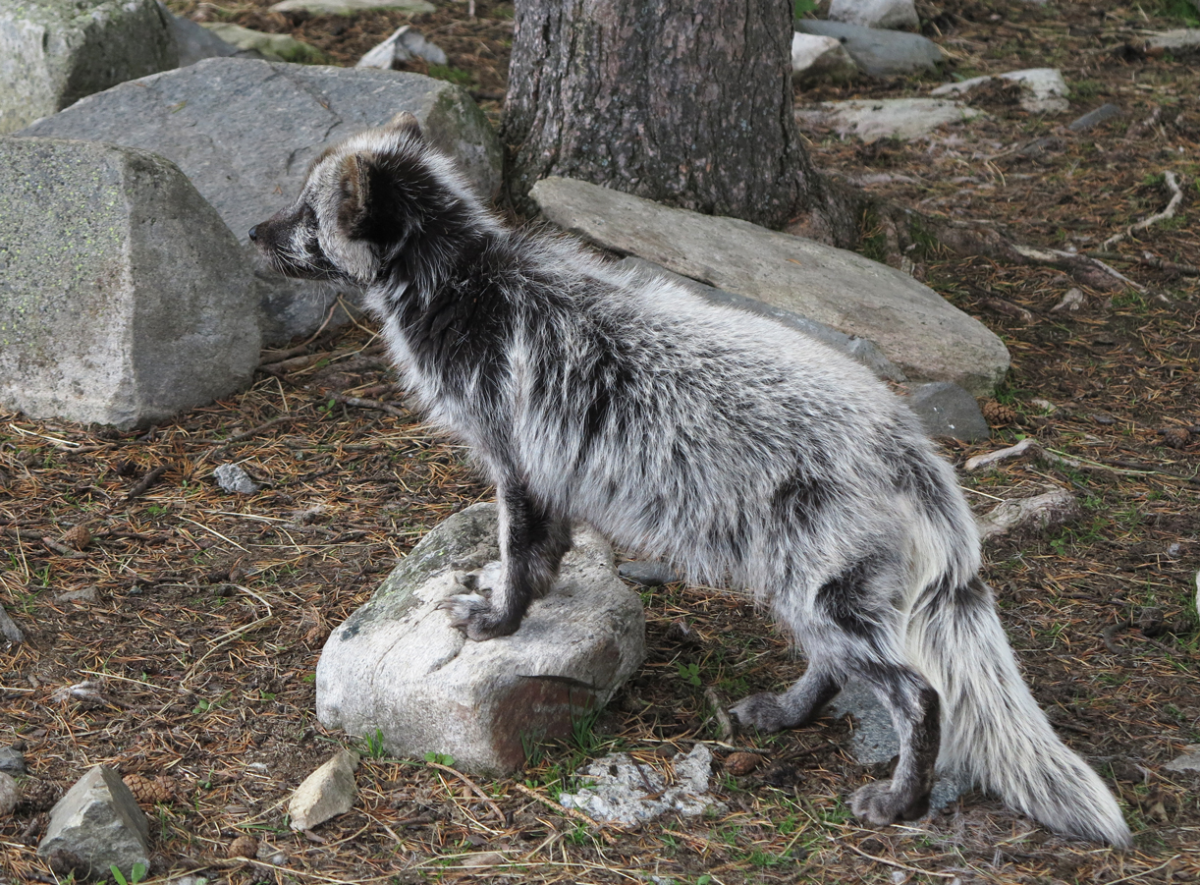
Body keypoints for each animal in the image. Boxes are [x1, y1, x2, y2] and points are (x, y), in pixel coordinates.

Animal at [250, 112, 1132, 847]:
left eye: (306, 215)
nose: (254, 231)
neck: (466, 282)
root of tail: (909, 447)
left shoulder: (516, 462)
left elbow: (520, 560)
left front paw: (499, 619)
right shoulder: (549, 476)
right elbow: (548, 556)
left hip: (821, 593)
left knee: (919, 695)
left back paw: (899, 800)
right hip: (805, 591)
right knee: (837, 667)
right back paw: (784, 712)